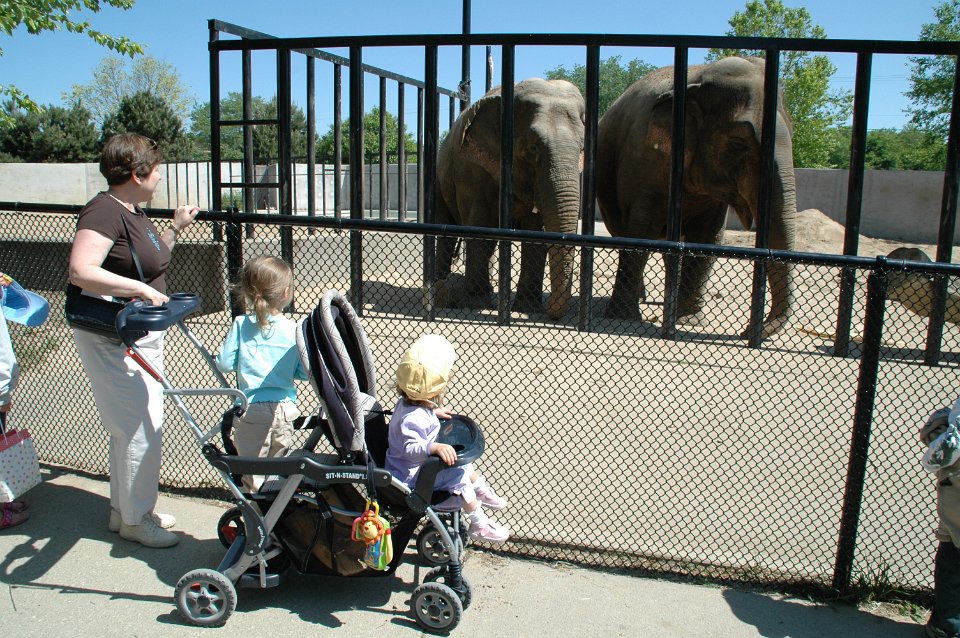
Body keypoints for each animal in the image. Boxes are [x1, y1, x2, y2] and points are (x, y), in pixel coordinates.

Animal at [436, 77, 584, 320]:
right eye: (532, 147)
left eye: (582, 148)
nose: (552, 313)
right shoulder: (470, 169)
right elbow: (480, 226)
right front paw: (477, 304)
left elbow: (534, 233)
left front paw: (527, 308)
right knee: (444, 230)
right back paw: (439, 289)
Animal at [600, 57, 796, 340]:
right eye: (738, 143)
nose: (745, 332)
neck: (697, 79)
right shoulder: (642, 160)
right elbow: (641, 232)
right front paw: (623, 318)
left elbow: (707, 238)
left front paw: (690, 321)